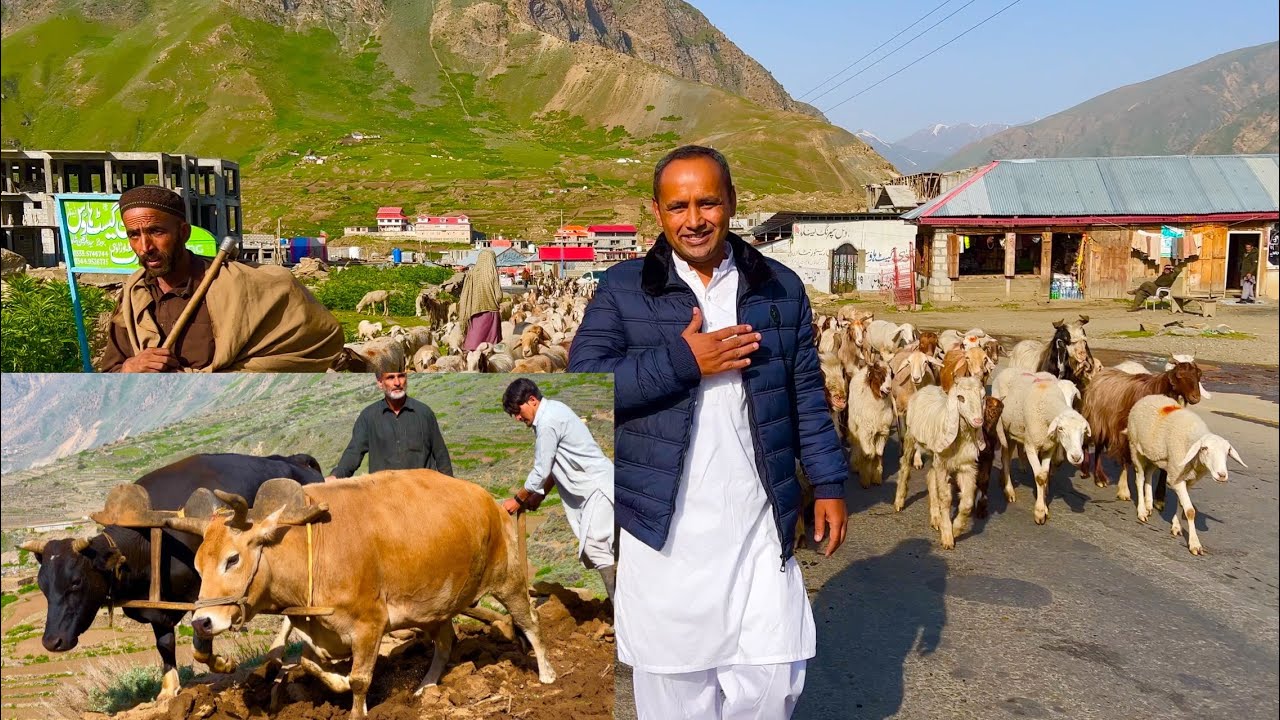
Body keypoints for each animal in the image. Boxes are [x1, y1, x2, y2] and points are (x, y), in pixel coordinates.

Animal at [896, 371, 983, 545]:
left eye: (982, 396)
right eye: (960, 397)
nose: (978, 421)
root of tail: (926, 387)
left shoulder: (967, 466)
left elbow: (967, 503)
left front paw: (955, 530)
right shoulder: (942, 464)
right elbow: (945, 498)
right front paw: (947, 536)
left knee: (930, 477)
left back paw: (936, 518)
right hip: (911, 436)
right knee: (905, 466)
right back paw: (899, 502)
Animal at [998, 368, 1090, 520]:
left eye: (1083, 431)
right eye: (1061, 428)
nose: (1077, 457)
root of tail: (1010, 369)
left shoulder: (1049, 448)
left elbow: (1045, 473)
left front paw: (1045, 500)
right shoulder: (1031, 446)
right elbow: (1040, 477)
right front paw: (1040, 511)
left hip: (1015, 430)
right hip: (1004, 429)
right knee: (1005, 457)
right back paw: (1009, 490)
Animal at [1080, 361, 1198, 497]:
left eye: (1198, 375)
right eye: (1179, 376)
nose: (1196, 397)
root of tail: (1102, 372)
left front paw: (1159, 496)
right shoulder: (1127, 432)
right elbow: (1127, 459)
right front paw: (1124, 490)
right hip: (1097, 421)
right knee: (1094, 445)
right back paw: (1095, 475)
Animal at [1126, 392, 1244, 556]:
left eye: (1227, 451)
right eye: (1204, 449)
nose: (1222, 475)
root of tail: (1150, 396)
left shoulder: (1188, 479)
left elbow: (1182, 504)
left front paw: (1176, 526)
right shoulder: (1176, 476)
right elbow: (1190, 511)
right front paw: (1195, 544)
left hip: (1155, 456)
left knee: (1148, 475)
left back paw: (1149, 504)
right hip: (1135, 448)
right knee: (1140, 478)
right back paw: (1142, 511)